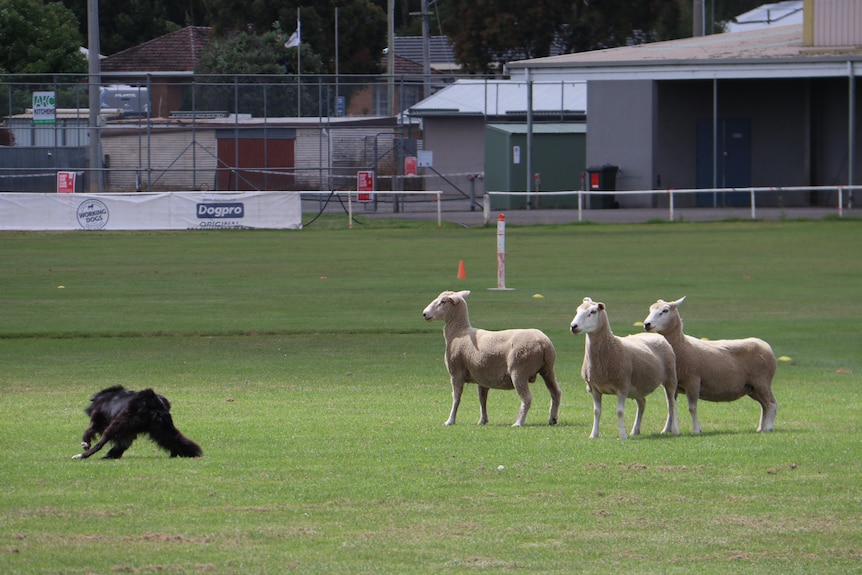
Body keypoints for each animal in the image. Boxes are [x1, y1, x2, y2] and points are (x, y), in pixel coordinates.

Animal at [72, 384, 204, 462]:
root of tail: (153, 402)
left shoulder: (98, 419)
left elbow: (88, 430)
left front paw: (85, 444)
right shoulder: (129, 432)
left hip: (116, 425)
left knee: (100, 444)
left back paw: (81, 456)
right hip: (162, 429)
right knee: (176, 440)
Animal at [422, 288, 564, 428]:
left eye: (443, 301)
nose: (424, 314)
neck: (459, 332)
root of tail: (543, 343)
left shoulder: (456, 372)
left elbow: (456, 397)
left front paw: (450, 421)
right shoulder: (481, 376)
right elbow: (482, 398)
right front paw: (482, 420)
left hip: (519, 370)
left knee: (527, 398)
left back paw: (518, 422)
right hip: (548, 369)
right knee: (556, 392)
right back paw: (552, 418)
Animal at [572, 296, 680, 440]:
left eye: (593, 311)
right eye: (577, 310)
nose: (573, 326)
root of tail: (656, 335)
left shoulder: (622, 385)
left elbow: (619, 412)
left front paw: (622, 435)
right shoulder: (593, 388)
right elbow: (596, 412)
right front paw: (593, 435)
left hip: (670, 378)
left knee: (672, 405)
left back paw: (675, 430)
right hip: (637, 386)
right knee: (642, 403)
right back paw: (635, 430)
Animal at [644, 296, 780, 432]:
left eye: (665, 310)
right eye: (650, 310)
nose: (646, 324)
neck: (682, 346)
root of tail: (765, 345)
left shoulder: (693, 381)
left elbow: (692, 408)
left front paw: (696, 430)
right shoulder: (670, 385)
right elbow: (670, 408)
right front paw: (665, 430)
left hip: (762, 382)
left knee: (772, 403)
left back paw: (768, 427)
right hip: (752, 387)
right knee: (764, 405)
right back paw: (761, 428)